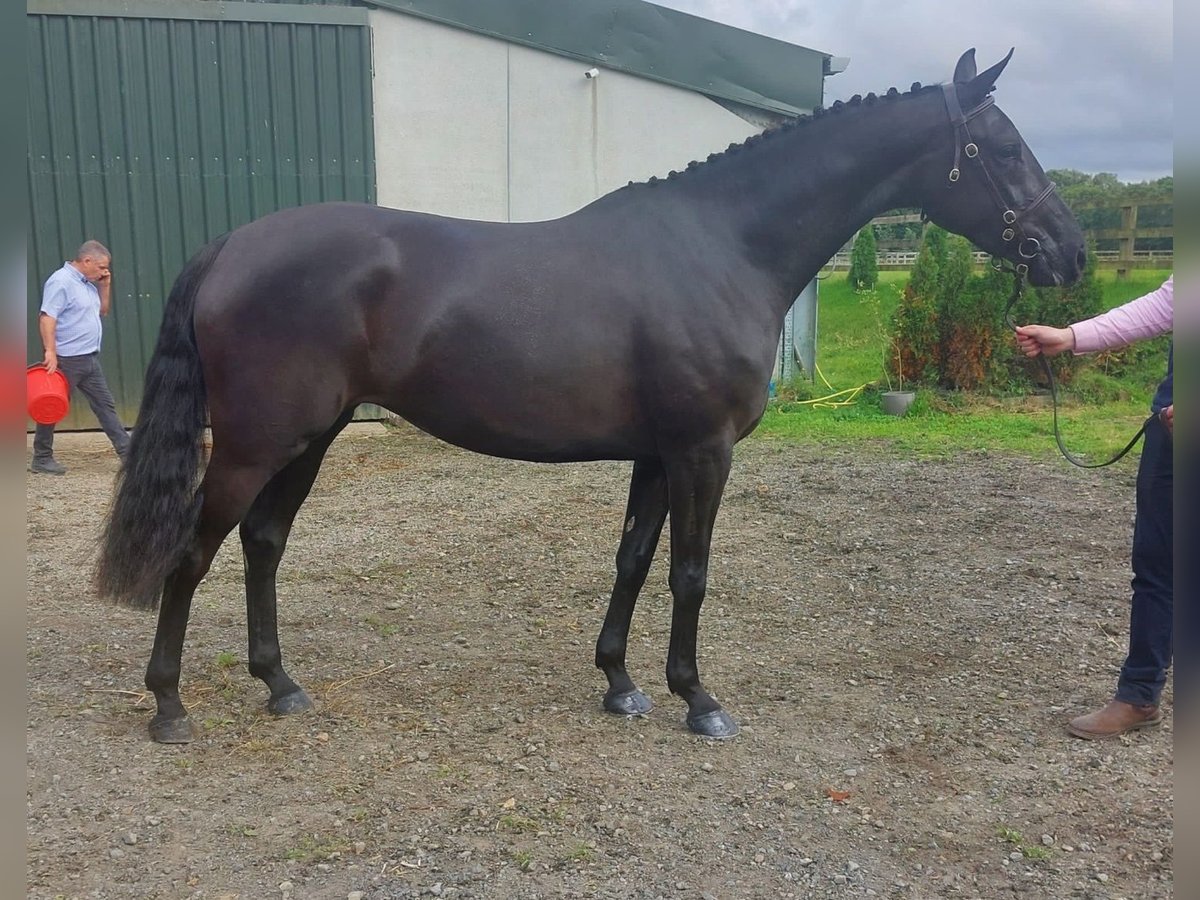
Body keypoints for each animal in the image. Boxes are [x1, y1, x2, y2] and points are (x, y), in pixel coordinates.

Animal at [96, 49, 1089, 744]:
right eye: (1004, 147)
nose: (1069, 253)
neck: (723, 247)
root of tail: (231, 245)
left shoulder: (655, 453)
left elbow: (634, 562)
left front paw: (621, 684)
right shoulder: (701, 451)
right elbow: (690, 572)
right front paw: (699, 699)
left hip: (312, 435)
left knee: (263, 544)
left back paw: (281, 685)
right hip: (259, 441)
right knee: (193, 552)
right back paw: (169, 705)